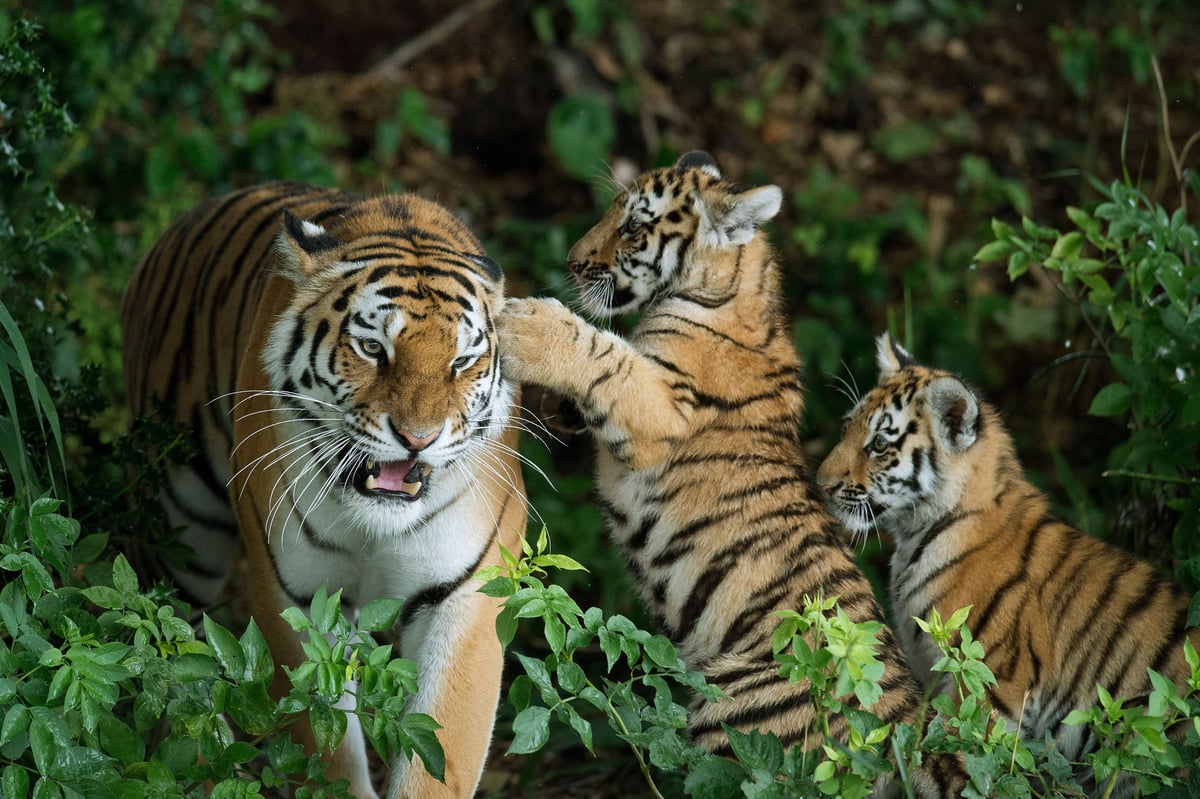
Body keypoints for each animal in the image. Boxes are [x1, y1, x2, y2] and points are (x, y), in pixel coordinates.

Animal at [121, 182, 527, 799]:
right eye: (373, 349)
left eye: (461, 361)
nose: (418, 438)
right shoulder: (296, 596)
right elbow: (325, 744)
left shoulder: (461, 596)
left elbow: (439, 753)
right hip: (182, 527)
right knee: (167, 652)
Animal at [495, 151, 966, 796]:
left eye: (634, 226)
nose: (572, 261)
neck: (727, 288)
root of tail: (901, 724)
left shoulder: (659, 411)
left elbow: (604, 353)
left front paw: (528, 324)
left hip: (735, 717)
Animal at [815, 331, 1199, 794]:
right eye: (846, 428)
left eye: (879, 444)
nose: (820, 483)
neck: (917, 535)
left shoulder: (983, 684)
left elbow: (963, 761)